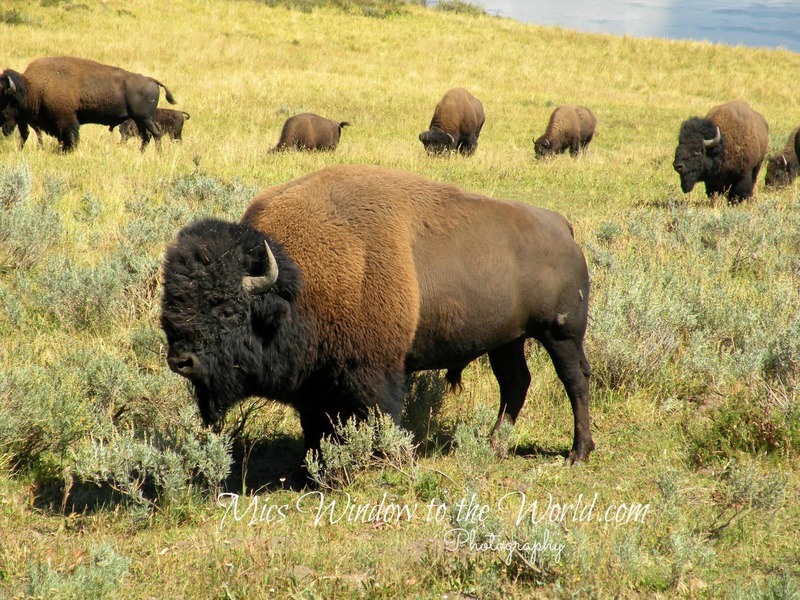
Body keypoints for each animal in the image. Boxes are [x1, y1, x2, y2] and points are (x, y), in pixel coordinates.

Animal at [0, 56, 176, 152]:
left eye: (7, 99)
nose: (3, 125)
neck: (34, 87)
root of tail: (151, 80)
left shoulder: (67, 120)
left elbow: (71, 137)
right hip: (140, 120)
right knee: (146, 137)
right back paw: (141, 153)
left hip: (146, 118)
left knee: (156, 133)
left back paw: (158, 154)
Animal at [161, 165, 594, 467]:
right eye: (171, 304)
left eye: (227, 309)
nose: (181, 361)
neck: (294, 282)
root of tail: (561, 225)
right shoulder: (314, 385)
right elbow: (315, 427)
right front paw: (314, 469)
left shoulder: (373, 373)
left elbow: (380, 416)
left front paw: (388, 459)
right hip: (508, 340)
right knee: (515, 384)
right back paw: (494, 445)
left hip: (561, 334)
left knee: (574, 381)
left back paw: (578, 453)